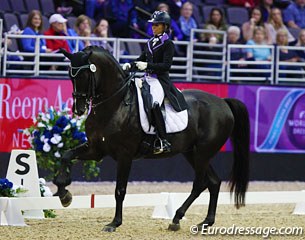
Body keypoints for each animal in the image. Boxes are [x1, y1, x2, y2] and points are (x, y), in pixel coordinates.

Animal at [57, 46, 249, 232]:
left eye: (84, 75)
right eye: (70, 75)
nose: (79, 109)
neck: (115, 104)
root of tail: (223, 103)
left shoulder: (125, 155)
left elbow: (120, 189)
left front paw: (114, 223)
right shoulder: (96, 149)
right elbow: (66, 155)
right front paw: (64, 194)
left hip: (203, 152)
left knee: (200, 184)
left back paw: (177, 218)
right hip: (192, 153)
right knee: (214, 182)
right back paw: (204, 222)